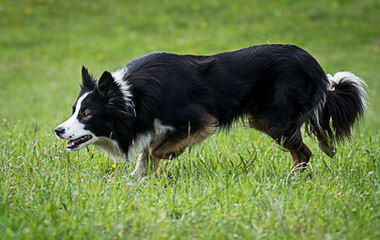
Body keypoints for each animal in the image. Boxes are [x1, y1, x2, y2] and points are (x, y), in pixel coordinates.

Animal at [55, 45, 366, 179]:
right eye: (74, 110)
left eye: (87, 114)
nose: (57, 130)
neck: (131, 97)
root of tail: (312, 63)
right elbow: (146, 152)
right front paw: (140, 178)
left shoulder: (200, 118)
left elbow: (155, 149)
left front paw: (160, 162)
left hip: (271, 118)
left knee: (305, 151)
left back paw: (295, 178)